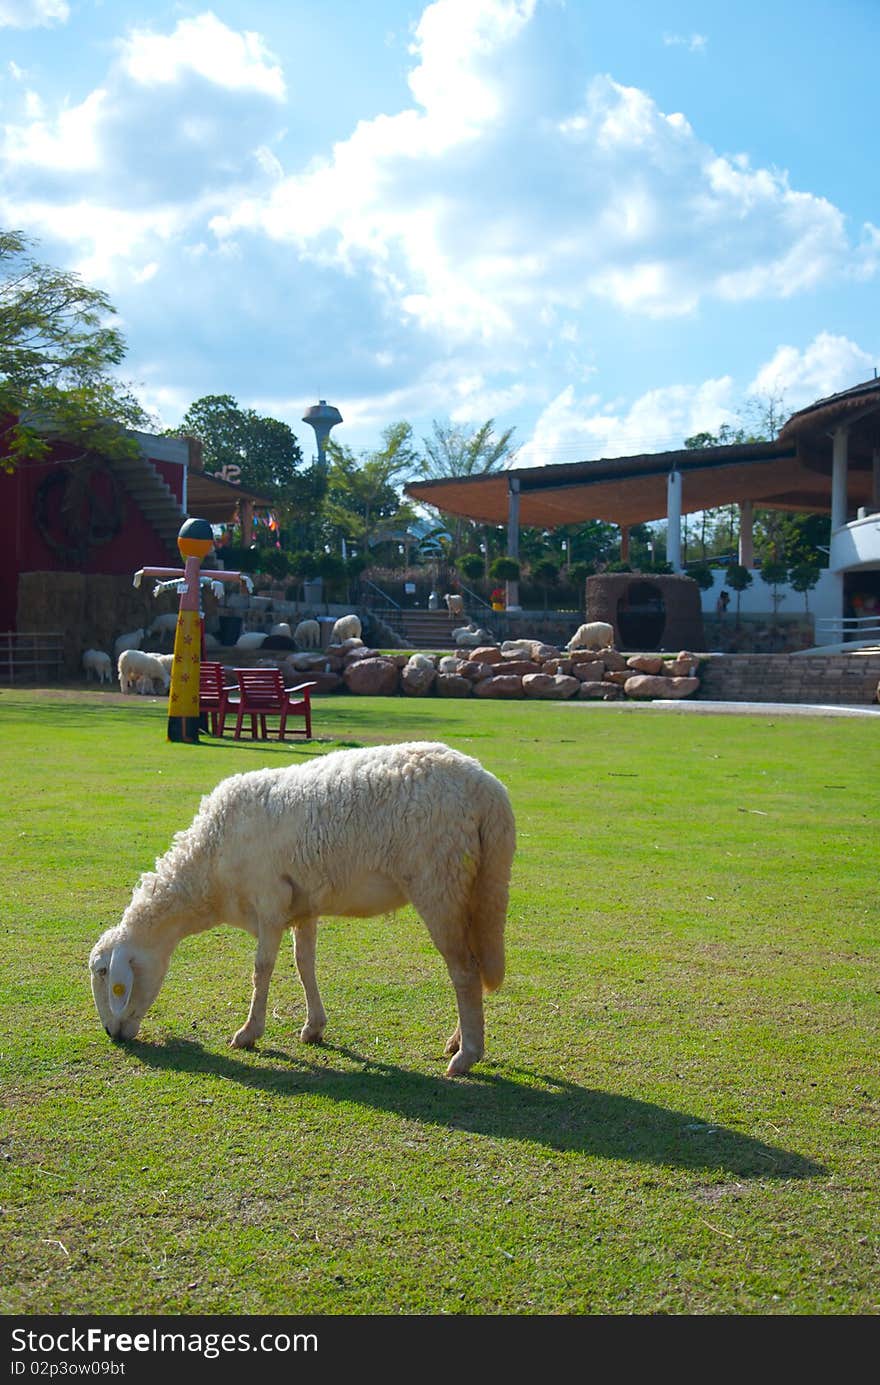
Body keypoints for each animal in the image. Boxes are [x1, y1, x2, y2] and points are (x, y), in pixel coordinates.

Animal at [89, 742, 515, 1074]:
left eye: (104, 974)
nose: (112, 1035)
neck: (206, 869)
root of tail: (488, 789)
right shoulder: (304, 906)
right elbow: (304, 965)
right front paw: (314, 1027)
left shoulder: (269, 902)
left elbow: (262, 969)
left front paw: (248, 1033)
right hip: (471, 889)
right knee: (473, 966)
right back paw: (458, 1040)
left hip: (440, 884)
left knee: (464, 970)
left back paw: (466, 1056)